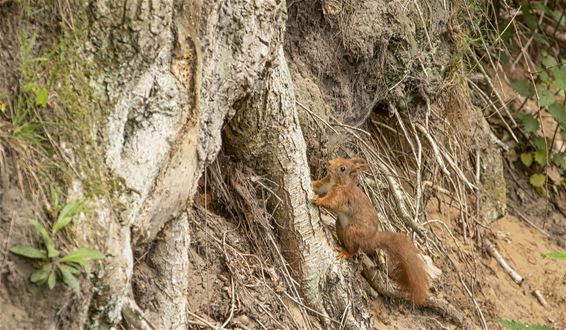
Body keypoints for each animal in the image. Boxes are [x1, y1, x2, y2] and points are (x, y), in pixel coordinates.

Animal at [310, 158, 430, 306]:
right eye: (337, 158)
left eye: (343, 168)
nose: (328, 163)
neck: (338, 182)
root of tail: (371, 239)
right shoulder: (325, 184)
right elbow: (317, 185)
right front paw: (310, 183)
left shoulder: (343, 196)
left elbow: (331, 203)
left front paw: (318, 200)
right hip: (340, 226)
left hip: (353, 231)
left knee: (354, 250)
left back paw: (345, 252)